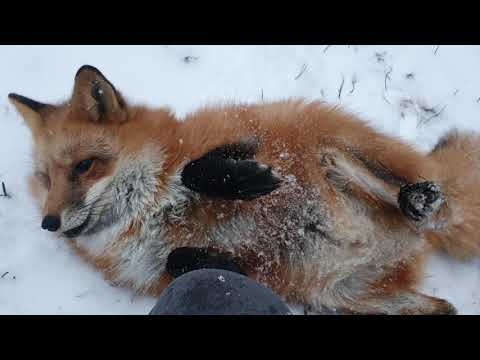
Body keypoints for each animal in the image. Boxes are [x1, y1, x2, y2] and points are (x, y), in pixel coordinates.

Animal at [8, 66, 480, 314]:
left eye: (84, 167)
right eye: (46, 179)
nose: (50, 223)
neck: (149, 210)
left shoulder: (243, 137)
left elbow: (197, 169)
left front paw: (250, 180)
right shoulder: (156, 272)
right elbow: (184, 260)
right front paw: (225, 264)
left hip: (330, 153)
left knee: (431, 204)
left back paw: (419, 200)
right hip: (338, 295)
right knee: (445, 307)